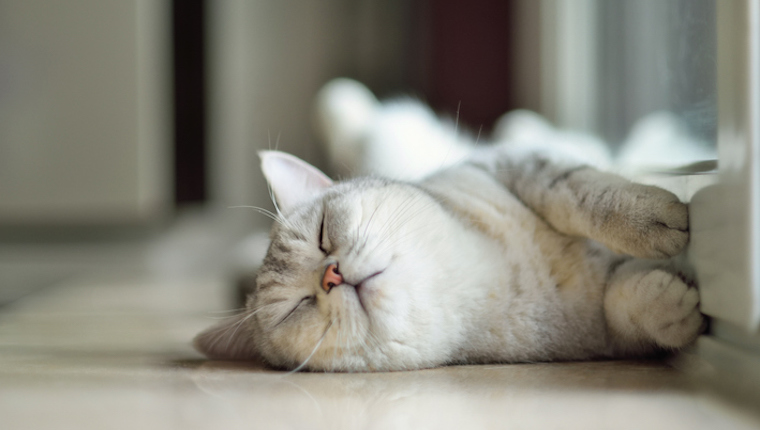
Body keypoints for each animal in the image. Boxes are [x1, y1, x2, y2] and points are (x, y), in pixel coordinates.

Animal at [193, 79, 704, 372]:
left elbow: (576, 191)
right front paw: (670, 306)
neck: (489, 277)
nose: (331, 275)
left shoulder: (507, 165)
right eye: (295, 307)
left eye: (322, 234)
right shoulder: (600, 337)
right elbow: (622, 307)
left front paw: (652, 216)